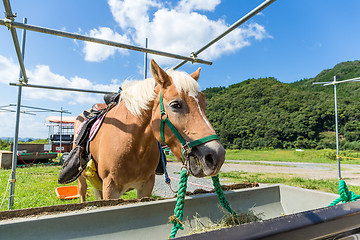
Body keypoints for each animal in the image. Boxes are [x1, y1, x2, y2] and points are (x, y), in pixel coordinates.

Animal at [76, 59, 225, 202]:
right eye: (175, 105)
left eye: (204, 105)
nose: (217, 157)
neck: (134, 146)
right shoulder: (110, 188)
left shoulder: (146, 187)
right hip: (82, 179)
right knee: (82, 191)